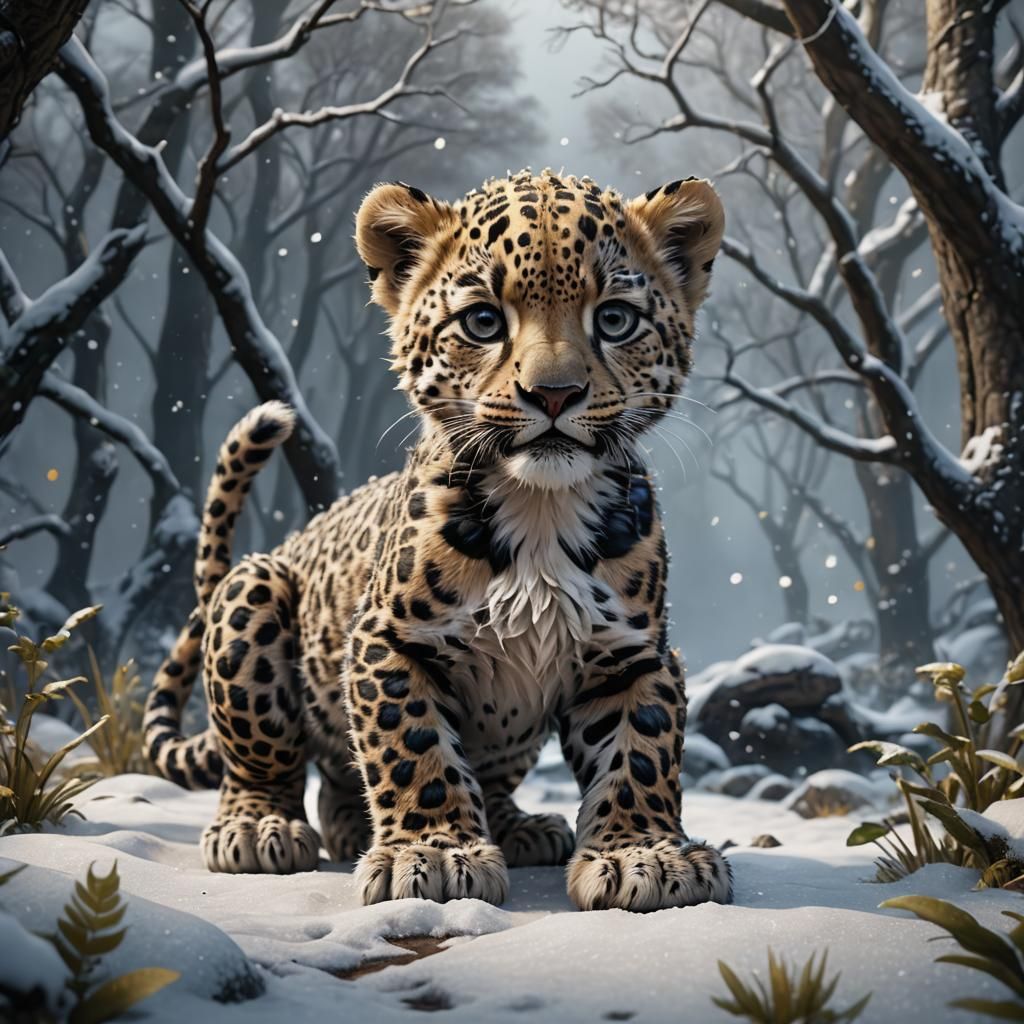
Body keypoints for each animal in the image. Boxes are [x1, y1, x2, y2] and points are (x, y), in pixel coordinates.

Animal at [143, 168, 732, 912]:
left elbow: (642, 750)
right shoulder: (388, 639)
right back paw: (257, 827)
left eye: (615, 319)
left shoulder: (633, 651)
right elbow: (411, 745)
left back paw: (517, 827)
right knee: (262, 761)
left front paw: (645, 854)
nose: (555, 395)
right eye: (483, 321)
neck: (542, 509)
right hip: (254, 592)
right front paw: (432, 854)